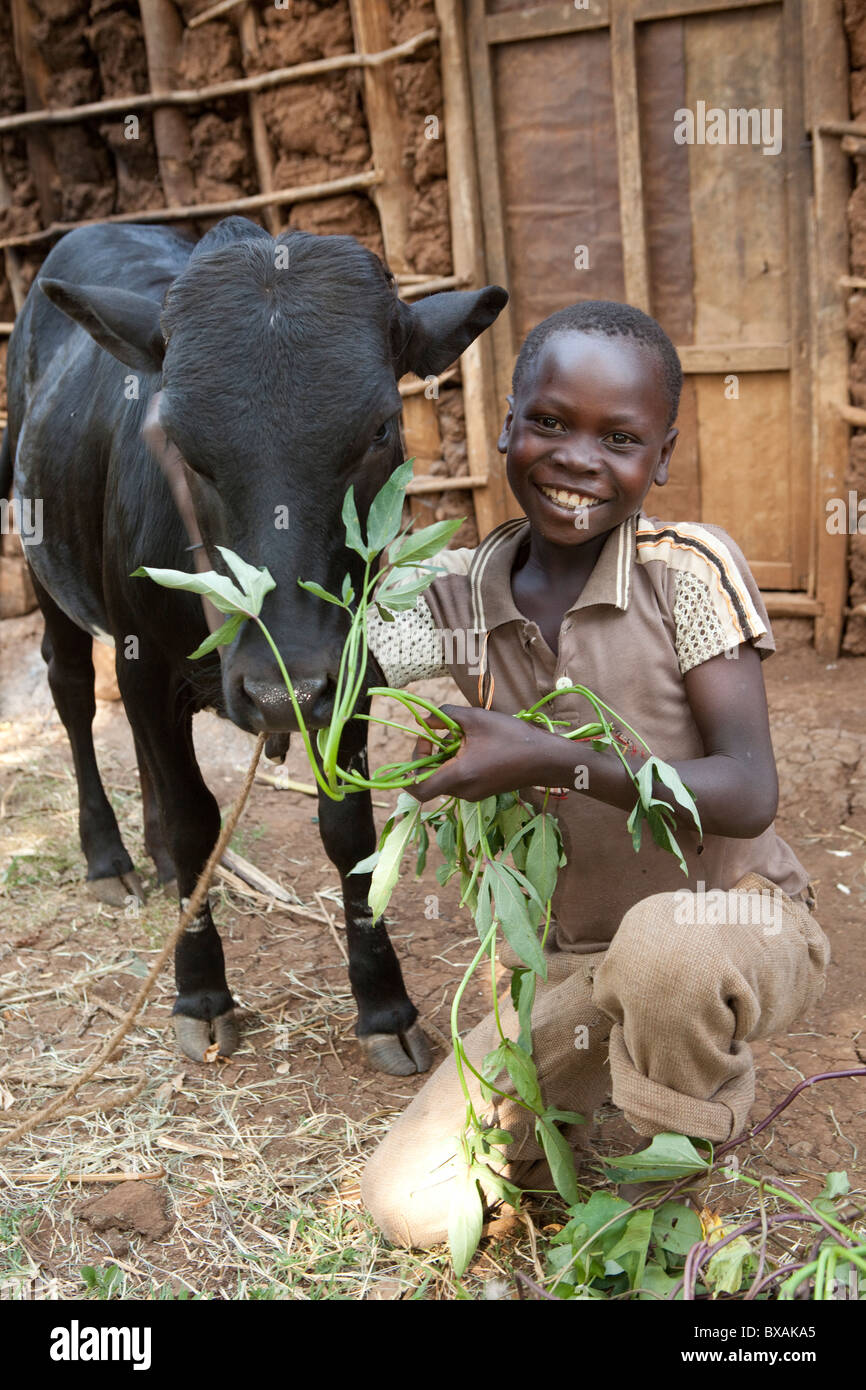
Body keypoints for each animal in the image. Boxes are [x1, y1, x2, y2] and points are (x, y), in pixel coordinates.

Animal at [3, 219, 508, 1073]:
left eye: (380, 427)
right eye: (175, 439)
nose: (281, 692)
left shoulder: (348, 663)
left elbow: (348, 829)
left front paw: (383, 1004)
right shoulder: (144, 659)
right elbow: (192, 815)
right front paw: (200, 993)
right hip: (47, 564)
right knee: (72, 692)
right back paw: (111, 858)